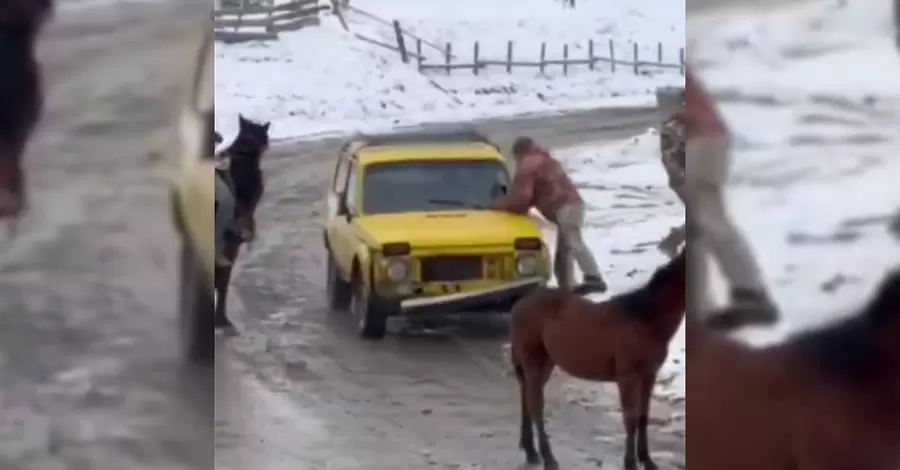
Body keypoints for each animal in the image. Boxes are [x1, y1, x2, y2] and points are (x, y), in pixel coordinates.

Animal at [510, 248, 684, 468]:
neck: (644, 318)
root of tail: (520, 304)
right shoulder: (628, 378)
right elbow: (630, 419)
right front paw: (630, 463)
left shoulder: (648, 376)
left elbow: (643, 416)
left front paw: (647, 460)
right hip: (534, 362)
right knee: (536, 406)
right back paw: (548, 458)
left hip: (545, 364)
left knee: (527, 396)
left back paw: (531, 451)